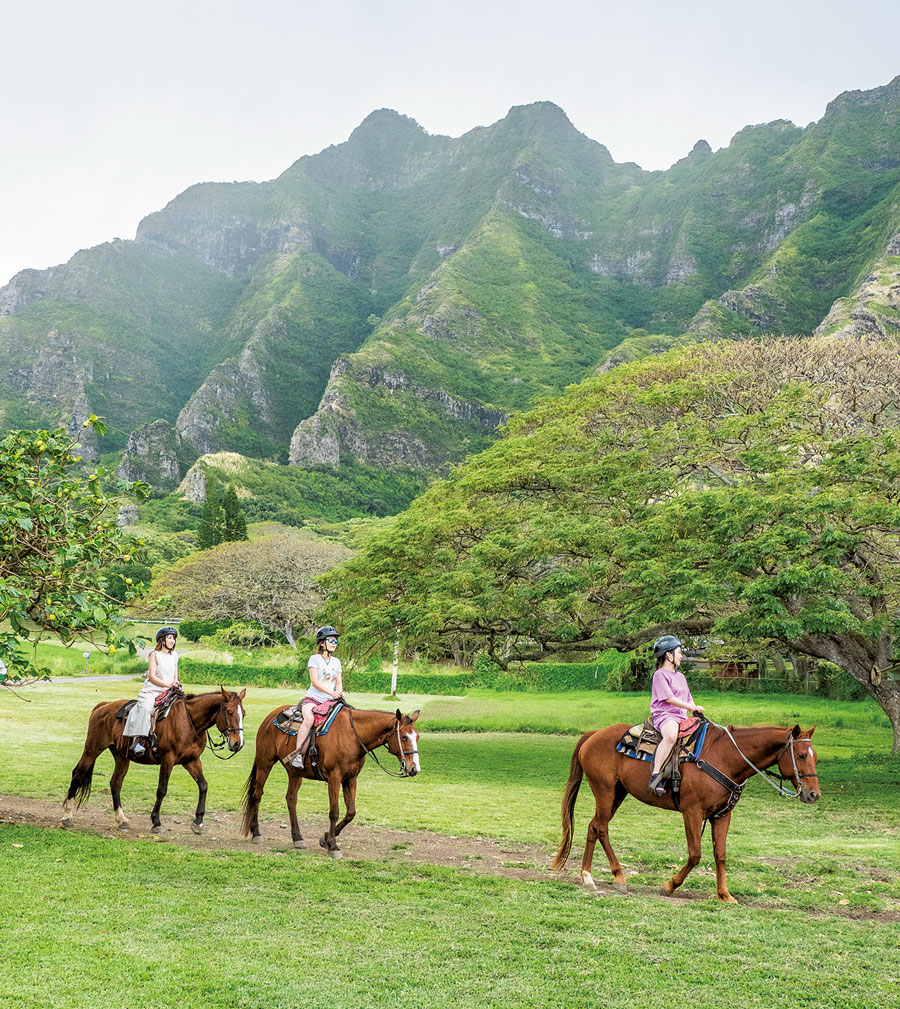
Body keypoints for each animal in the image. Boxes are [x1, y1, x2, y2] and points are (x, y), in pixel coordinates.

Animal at [61, 686, 246, 835]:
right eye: (229, 712)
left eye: (243, 714)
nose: (238, 744)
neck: (190, 722)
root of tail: (103, 706)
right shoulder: (168, 759)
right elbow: (162, 790)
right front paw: (156, 821)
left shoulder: (191, 761)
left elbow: (203, 786)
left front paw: (198, 822)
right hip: (93, 749)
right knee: (78, 773)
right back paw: (67, 816)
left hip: (121, 757)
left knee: (115, 783)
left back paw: (121, 819)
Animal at [239, 702, 421, 859]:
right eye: (404, 737)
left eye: (417, 737)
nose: (414, 768)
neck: (353, 736)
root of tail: (269, 718)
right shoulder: (334, 777)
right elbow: (334, 812)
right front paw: (333, 846)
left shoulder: (351, 778)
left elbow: (351, 812)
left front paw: (325, 838)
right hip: (265, 763)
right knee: (257, 795)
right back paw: (256, 833)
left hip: (295, 773)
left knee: (291, 800)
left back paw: (298, 838)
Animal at [552, 722, 819, 904]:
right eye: (801, 755)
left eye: (815, 756)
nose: (813, 794)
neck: (726, 758)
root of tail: (594, 734)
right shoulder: (692, 812)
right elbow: (695, 854)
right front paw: (670, 885)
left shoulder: (722, 815)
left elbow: (720, 854)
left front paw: (724, 894)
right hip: (605, 791)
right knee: (601, 827)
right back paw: (614, 876)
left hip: (618, 793)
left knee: (593, 826)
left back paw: (588, 875)